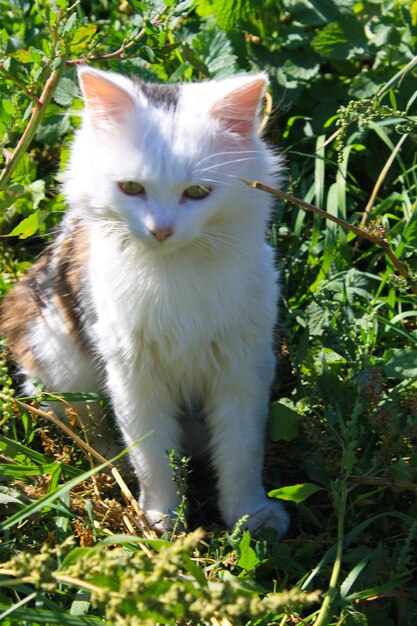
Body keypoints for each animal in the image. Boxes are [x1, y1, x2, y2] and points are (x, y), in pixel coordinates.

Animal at [0, 67, 290, 532]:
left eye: (197, 192)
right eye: (132, 188)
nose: (161, 229)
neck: (174, 272)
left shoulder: (243, 368)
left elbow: (241, 453)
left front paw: (249, 517)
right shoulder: (133, 375)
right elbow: (151, 457)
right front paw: (162, 520)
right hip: (59, 359)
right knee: (84, 425)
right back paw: (107, 463)